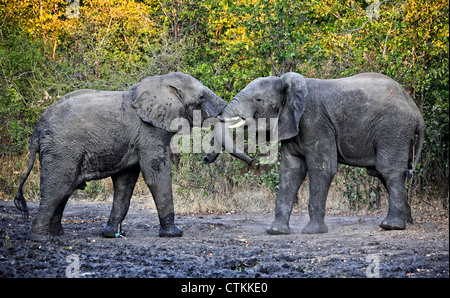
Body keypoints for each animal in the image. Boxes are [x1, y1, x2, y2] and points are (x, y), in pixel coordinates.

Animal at [14, 73, 229, 242]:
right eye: (201, 97)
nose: (205, 159)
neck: (160, 82)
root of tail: (38, 127)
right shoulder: (149, 132)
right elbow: (156, 176)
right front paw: (174, 233)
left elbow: (125, 182)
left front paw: (111, 234)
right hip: (62, 149)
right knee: (58, 188)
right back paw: (41, 239)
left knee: (64, 190)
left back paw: (56, 234)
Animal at [207, 71, 426, 235]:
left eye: (258, 99)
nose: (252, 161)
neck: (287, 84)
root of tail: (417, 113)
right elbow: (291, 171)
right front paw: (275, 231)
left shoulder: (315, 122)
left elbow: (321, 168)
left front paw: (312, 231)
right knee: (382, 172)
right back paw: (407, 221)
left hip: (393, 129)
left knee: (388, 170)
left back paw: (391, 226)